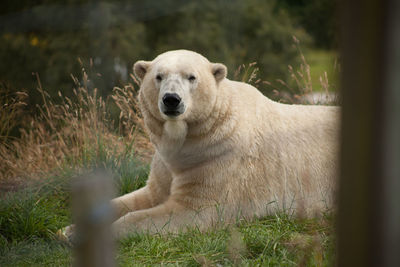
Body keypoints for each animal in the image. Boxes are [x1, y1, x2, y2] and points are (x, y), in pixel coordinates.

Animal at [104, 49, 340, 238]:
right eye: (158, 76)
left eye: (191, 77)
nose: (171, 99)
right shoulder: (164, 163)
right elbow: (148, 194)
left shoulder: (217, 159)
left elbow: (191, 210)